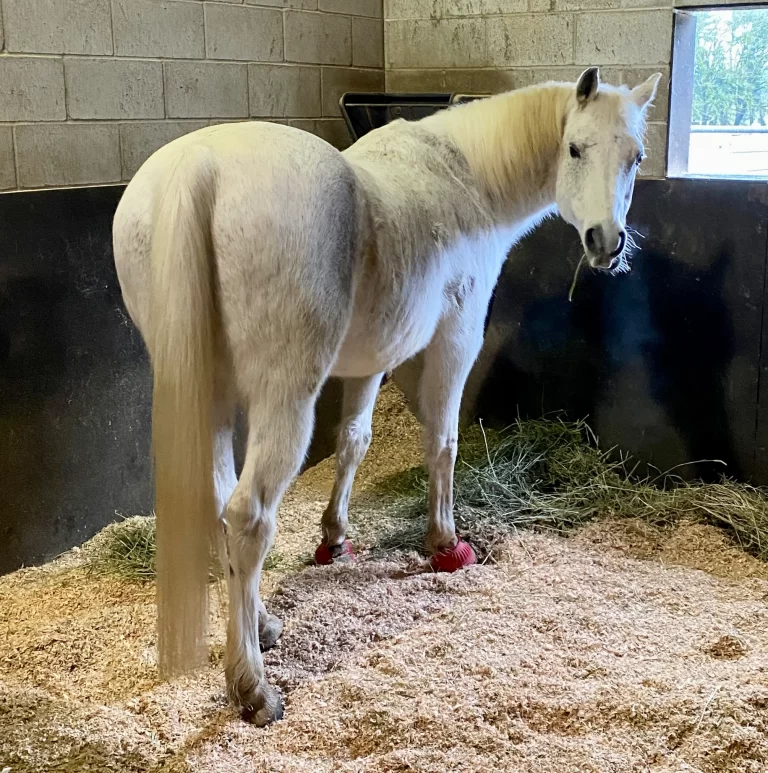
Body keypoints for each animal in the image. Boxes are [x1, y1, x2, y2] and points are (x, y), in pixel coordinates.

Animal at [113, 66, 661, 725]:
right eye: (574, 148)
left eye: (636, 157)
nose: (606, 243)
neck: (466, 176)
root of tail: (202, 166)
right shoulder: (457, 337)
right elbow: (443, 440)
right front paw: (445, 544)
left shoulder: (370, 360)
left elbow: (354, 440)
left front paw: (335, 538)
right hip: (284, 397)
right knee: (247, 517)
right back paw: (253, 687)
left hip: (213, 396)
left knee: (220, 504)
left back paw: (263, 625)